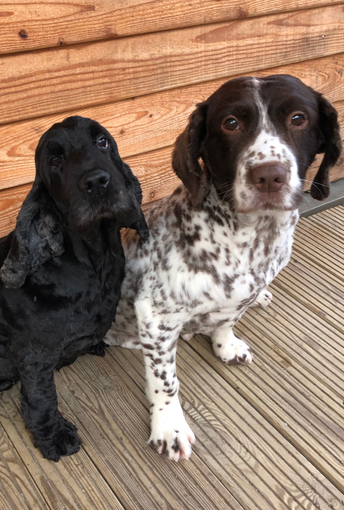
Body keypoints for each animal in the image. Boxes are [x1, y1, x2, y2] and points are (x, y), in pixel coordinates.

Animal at [0, 116, 146, 462]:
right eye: (55, 161)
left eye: (102, 141)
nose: (97, 182)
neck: (94, 261)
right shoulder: (34, 354)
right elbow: (41, 397)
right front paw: (53, 436)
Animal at [106, 75, 342, 462]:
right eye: (230, 123)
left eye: (298, 118)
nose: (269, 176)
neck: (251, 242)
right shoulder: (156, 317)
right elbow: (166, 382)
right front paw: (169, 426)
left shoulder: (239, 295)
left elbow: (228, 320)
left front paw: (226, 345)